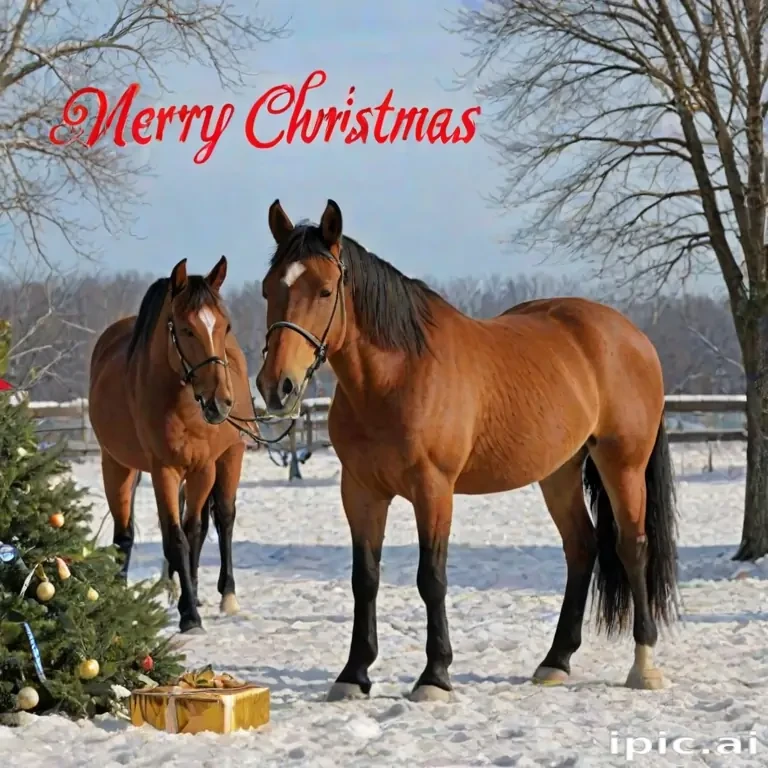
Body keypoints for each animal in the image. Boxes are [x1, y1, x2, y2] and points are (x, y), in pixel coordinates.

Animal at [89, 256, 257, 633]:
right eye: (185, 329)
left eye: (224, 325)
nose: (220, 402)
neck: (183, 407)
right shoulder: (162, 470)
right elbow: (174, 535)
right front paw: (188, 609)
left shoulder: (203, 468)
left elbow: (192, 531)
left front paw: (190, 608)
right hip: (118, 465)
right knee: (125, 532)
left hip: (230, 457)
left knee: (224, 518)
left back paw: (227, 595)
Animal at [255, 199, 679, 702]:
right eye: (267, 289)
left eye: (323, 291)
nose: (276, 387)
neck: (397, 376)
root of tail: (633, 336)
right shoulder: (360, 491)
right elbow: (366, 579)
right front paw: (354, 675)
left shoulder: (433, 489)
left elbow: (431, 578)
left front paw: (434, 676)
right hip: (559, 472)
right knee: (582, 546)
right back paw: (555, 662)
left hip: (623, 463)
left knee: (632, 547)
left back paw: (645, 666)